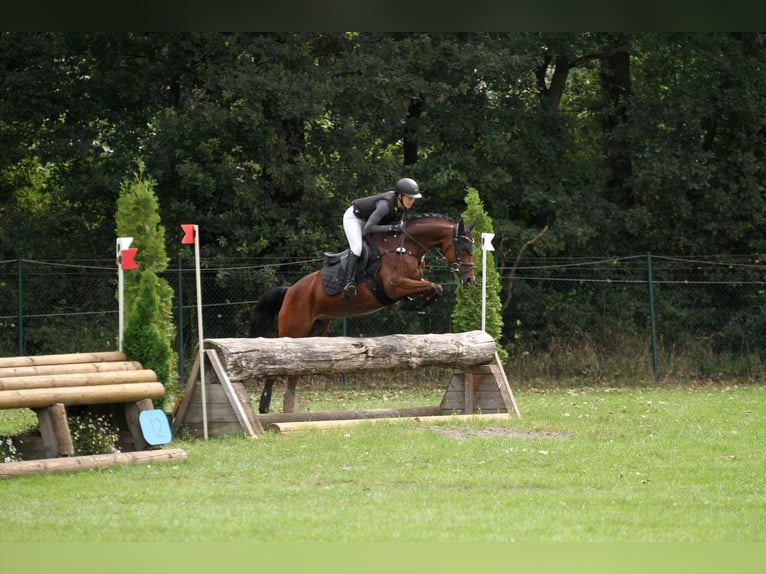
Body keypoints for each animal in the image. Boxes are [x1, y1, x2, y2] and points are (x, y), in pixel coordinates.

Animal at [249, 214, 476, 416]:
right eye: (464, 248)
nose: (470, 281)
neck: (406, 248)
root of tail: (290, 291)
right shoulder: (395, 286)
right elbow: (434, 286)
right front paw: (410, 304)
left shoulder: (413, 281)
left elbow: (435, 288)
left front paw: (413, 303)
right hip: (294, 327)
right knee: (278, 360)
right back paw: (264, 405)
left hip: (317, 328)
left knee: (296, 366)